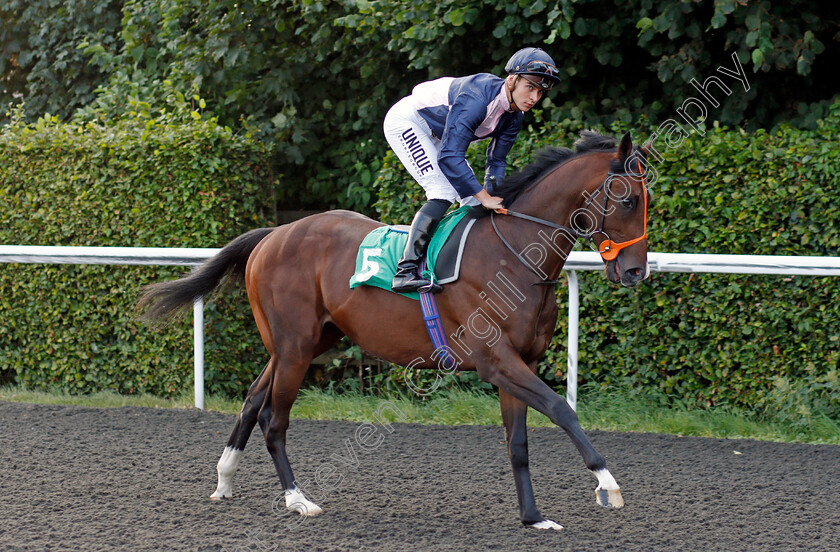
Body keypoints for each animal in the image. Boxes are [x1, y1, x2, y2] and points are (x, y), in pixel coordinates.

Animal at [139, 130, 648, 532]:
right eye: (628, 200)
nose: (636, 272)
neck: (515, 254)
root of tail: (273, 234)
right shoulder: (495, 360)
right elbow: (562, 409)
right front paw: (607, 484)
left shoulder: (521, 361)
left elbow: (518, 442)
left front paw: (533, 517)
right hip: (296, 347)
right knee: (273, 418)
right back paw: (298, 499)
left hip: (303, 343)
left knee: (251, 400)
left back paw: (224, 479)